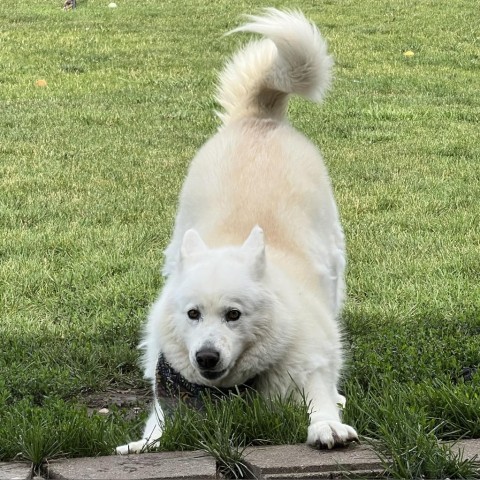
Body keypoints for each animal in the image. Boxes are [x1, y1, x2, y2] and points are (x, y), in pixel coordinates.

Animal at [116, 9, 356, 456]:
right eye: (193, 314)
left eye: (234, 315)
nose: (206, 358)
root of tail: (260, 117)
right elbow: (159, 419)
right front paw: (144, 444)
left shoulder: (310, 366)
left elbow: (320, 400)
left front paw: (327, 427)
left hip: (333, 268)